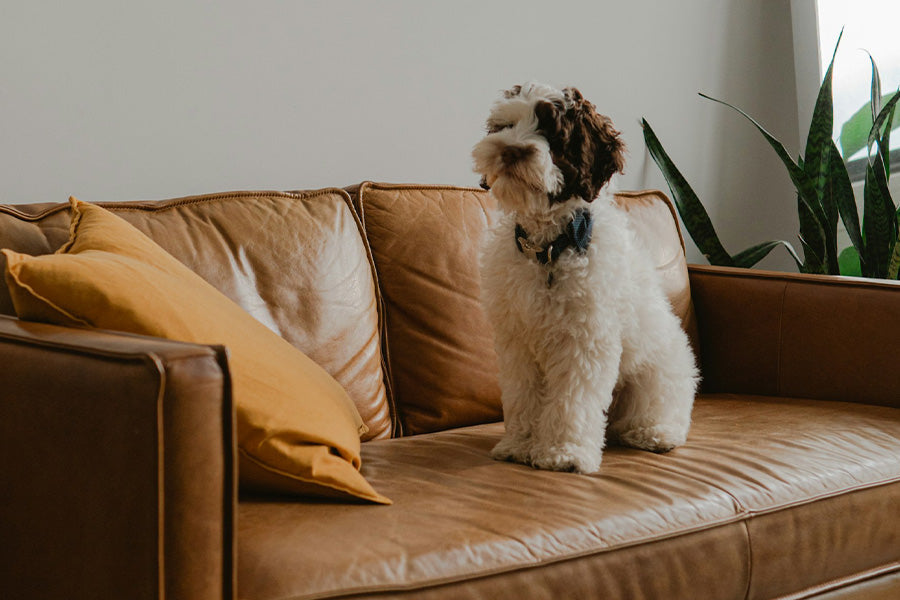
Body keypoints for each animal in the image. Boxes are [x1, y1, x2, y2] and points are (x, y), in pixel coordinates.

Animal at [474, 82, 700, 474]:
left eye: (553, 134)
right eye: (505, 127)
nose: (511, 151)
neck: (549, 249)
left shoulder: (583, 340)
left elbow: (570, 401)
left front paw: (562, 452)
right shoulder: (517, 342)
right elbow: (522, 396)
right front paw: (520, 445)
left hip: (658, 375)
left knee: (663, 412)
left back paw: (656, 434)